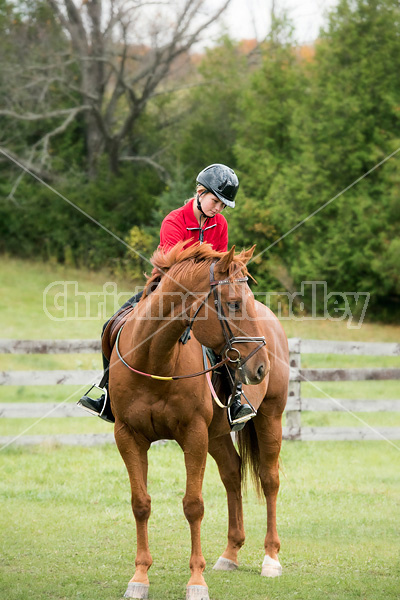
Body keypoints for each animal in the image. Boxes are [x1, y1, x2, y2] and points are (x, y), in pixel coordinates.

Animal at [109, 241, 290, 596]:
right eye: (233, 304)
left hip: (270, 418)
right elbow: (140, 503)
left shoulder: (193, 436)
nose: (260, 367)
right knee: (232, 474)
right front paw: (139, 578)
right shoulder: (128, 436)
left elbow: (193, 506)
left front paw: (196, 582)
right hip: (217, 435)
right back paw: (230, 553)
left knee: (269, 479)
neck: (156, 360)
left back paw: (271, 558)